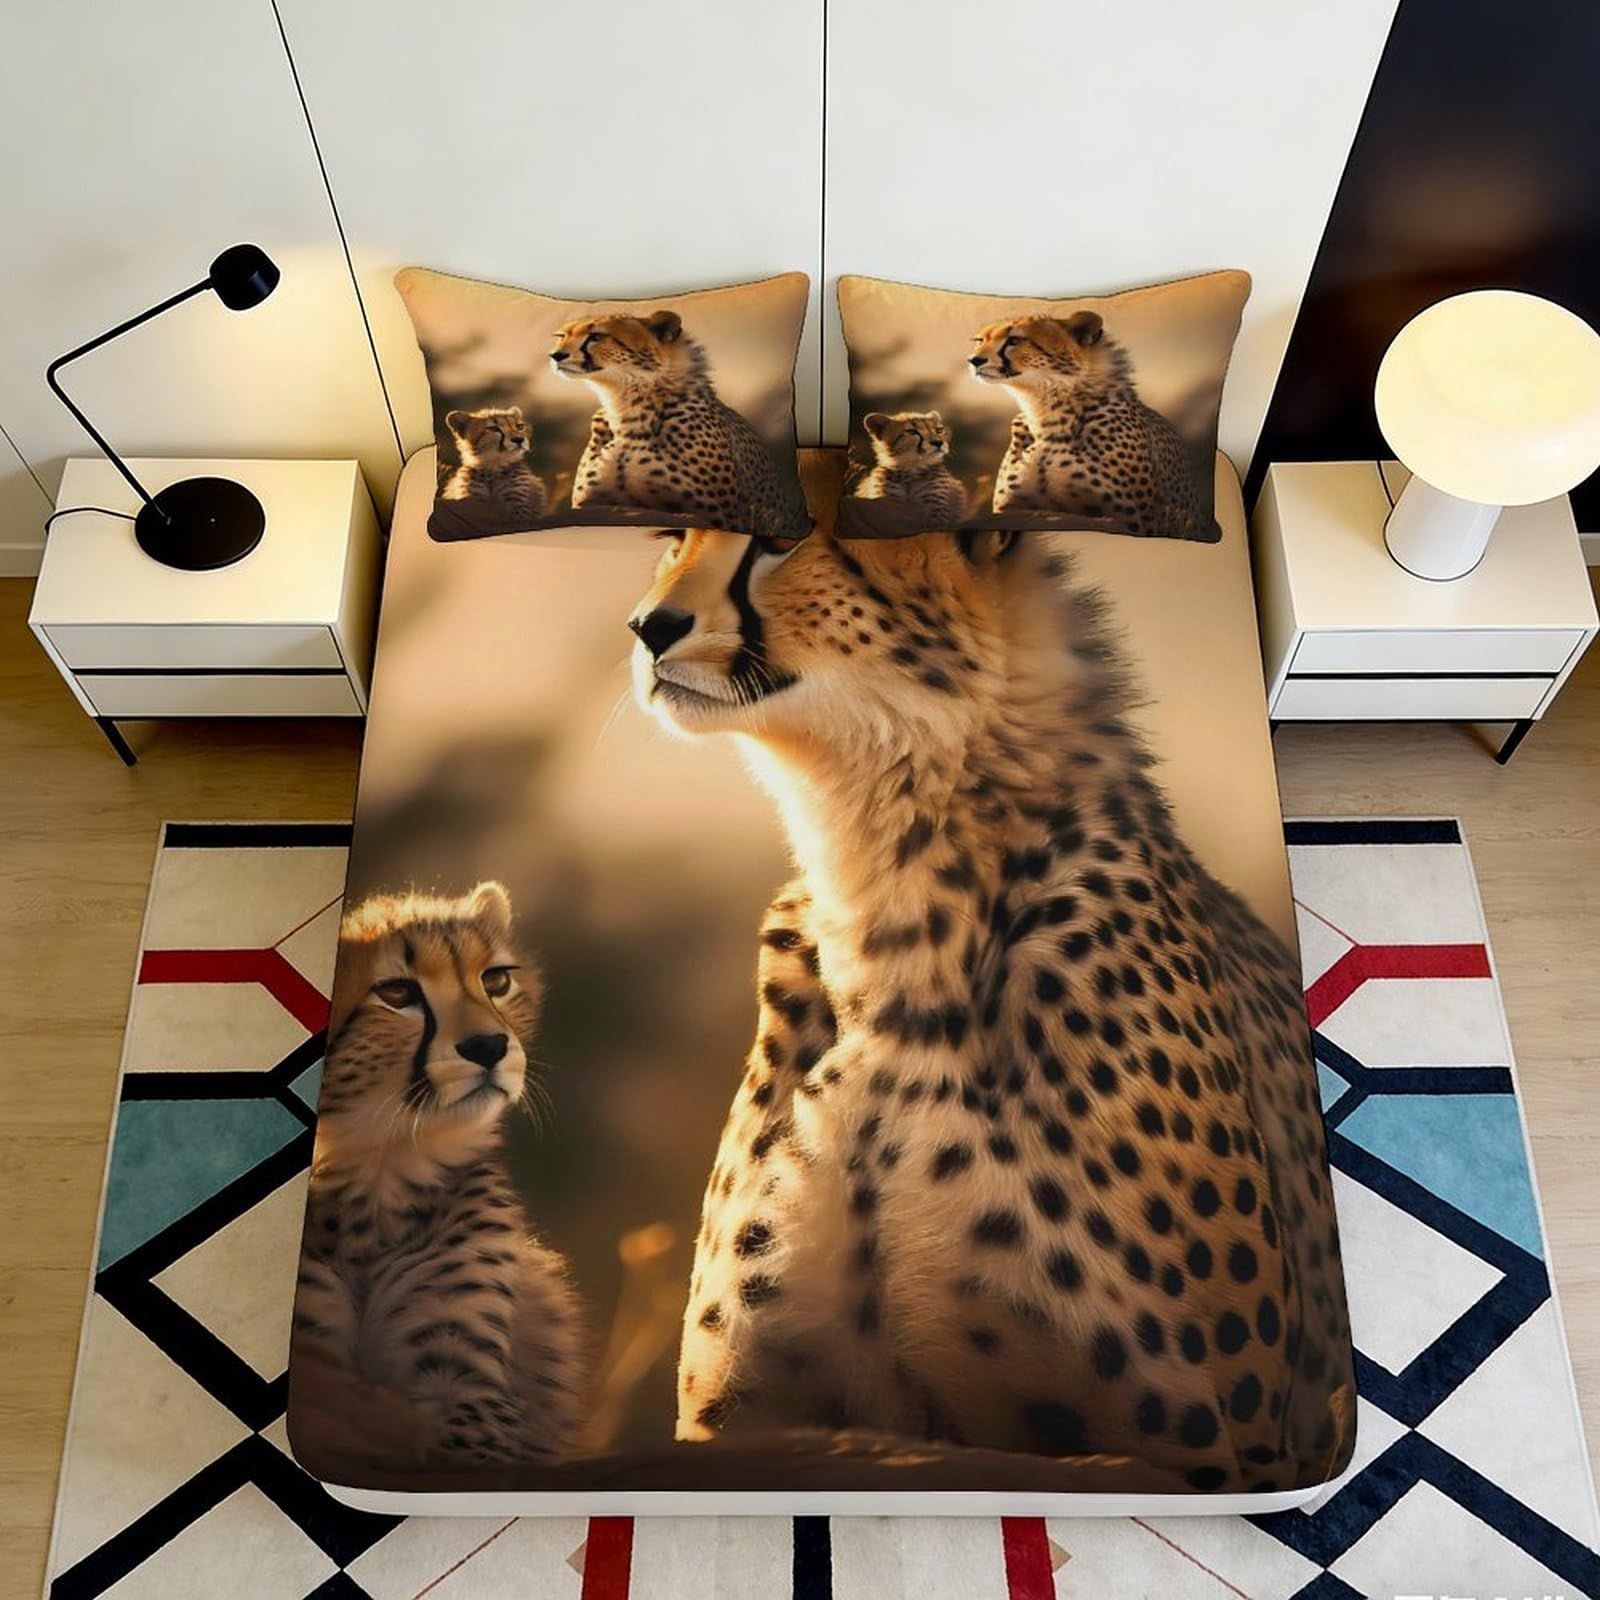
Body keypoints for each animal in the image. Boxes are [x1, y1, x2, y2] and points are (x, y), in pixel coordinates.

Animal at [550, 309, 808, 539]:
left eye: (596, 336)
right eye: (562, 335)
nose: (555, 355)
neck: (626, 409)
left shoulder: (710, 514)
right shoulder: (592, 506)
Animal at [970, 312, 1210, 540]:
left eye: (1014, 340)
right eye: (980, 340)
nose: (974, 360)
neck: (1046, 417)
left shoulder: (1130, 520)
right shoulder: (1011, 511)